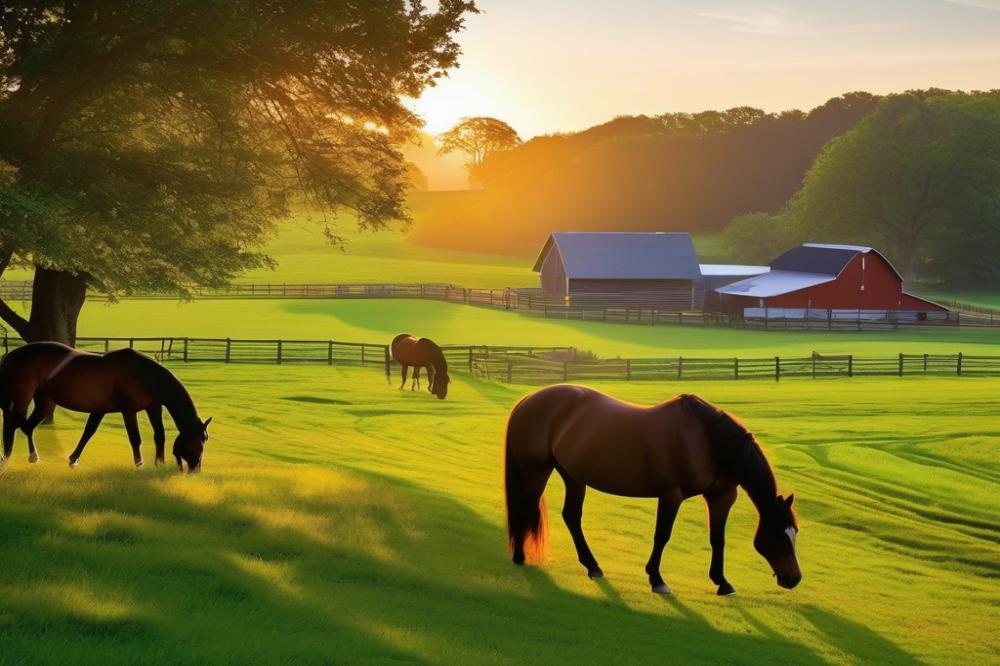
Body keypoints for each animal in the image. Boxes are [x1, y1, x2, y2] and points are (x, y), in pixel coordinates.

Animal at [0, 341, 211, 472]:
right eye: (199, 443)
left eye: (204, 440)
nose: (195, 470)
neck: (143, 374)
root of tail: (10, 355)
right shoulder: (128, 411)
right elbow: (135, 438)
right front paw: (140, 465)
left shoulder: (152, 407)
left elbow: (158, 435)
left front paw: (159, 464)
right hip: (22, 397)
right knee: (13, 424)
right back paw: (7, 459)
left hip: (45, 403)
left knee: (27, 426)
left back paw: (33, 457)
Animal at [503, 385, 800, 595]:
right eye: (779, 536)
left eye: (794, 533)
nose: (794, 579)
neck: (707, 440)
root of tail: (528, 400)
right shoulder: (671, 495)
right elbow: (662, 536)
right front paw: (657, 579)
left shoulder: (721, 496)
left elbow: (718, 539)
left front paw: (722, 582)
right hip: (537, 470)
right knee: (526, 507)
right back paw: (520, 556)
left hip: (572, 475)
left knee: (571, 517)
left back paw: (592, 565)